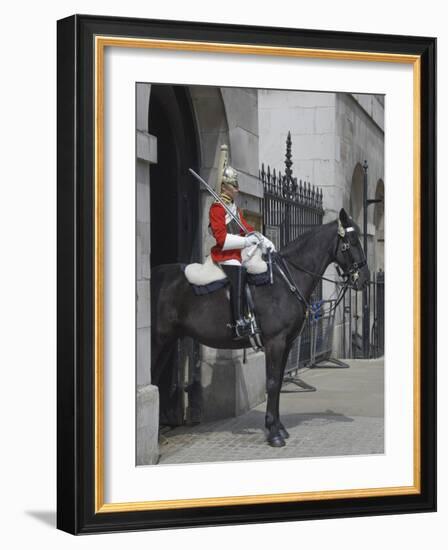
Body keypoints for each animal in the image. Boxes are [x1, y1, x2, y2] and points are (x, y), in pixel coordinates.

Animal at [150, 210, 368, 448]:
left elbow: (279, 381)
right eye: (352, 241)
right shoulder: (275, 342)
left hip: (168, 341)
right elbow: (272, 383)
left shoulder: (287, 344)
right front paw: (273, 434)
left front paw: (279, 428)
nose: (364, 280)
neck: (285, 280)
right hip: (157, 341)